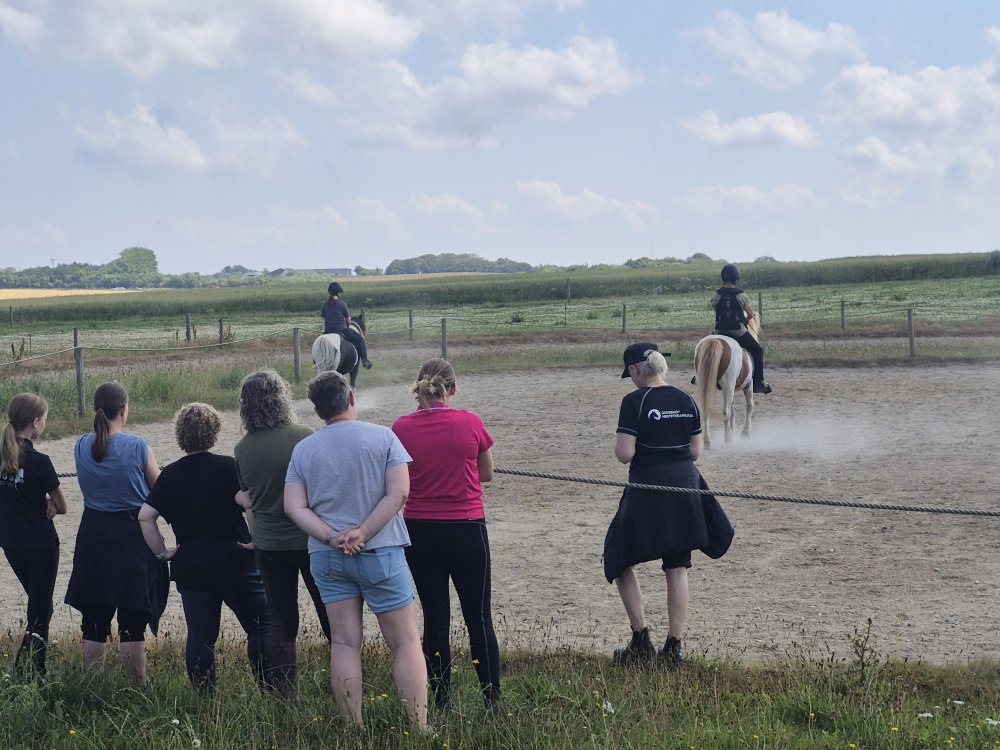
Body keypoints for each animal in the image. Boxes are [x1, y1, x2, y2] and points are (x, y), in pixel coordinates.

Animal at [692, 314, 761, 448]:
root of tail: (715, 341)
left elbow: (733, 411)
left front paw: (734, 432)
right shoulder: (748, 385)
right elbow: (749, 406)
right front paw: (745, 432)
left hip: (709, 385)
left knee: (706, 411)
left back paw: (707, 441)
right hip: (728, 387)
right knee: (726, 411)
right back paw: (727, 438)